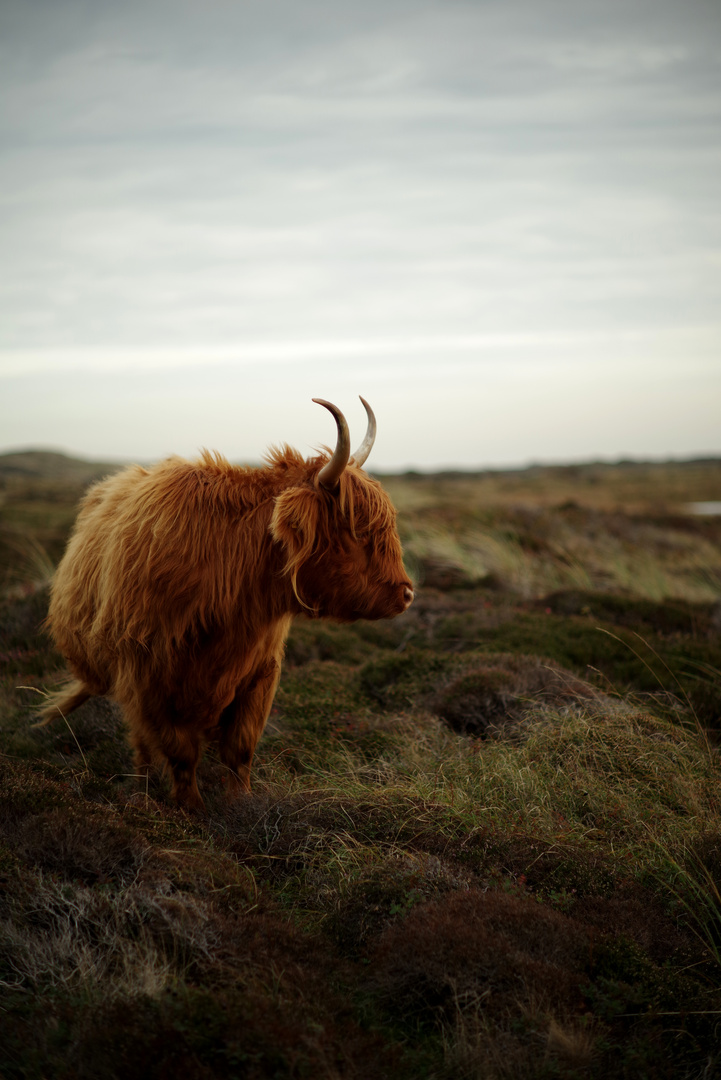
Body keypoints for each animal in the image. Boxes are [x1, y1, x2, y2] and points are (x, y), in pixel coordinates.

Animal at [40, 401, 410, 807]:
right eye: (358, 530)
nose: (406, 594)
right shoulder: (147, 679)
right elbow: (180, 753)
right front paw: (190, 808)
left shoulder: (261, 673)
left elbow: (240, 748)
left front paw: (241, 802)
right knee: (142, 746)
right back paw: (143, 789)